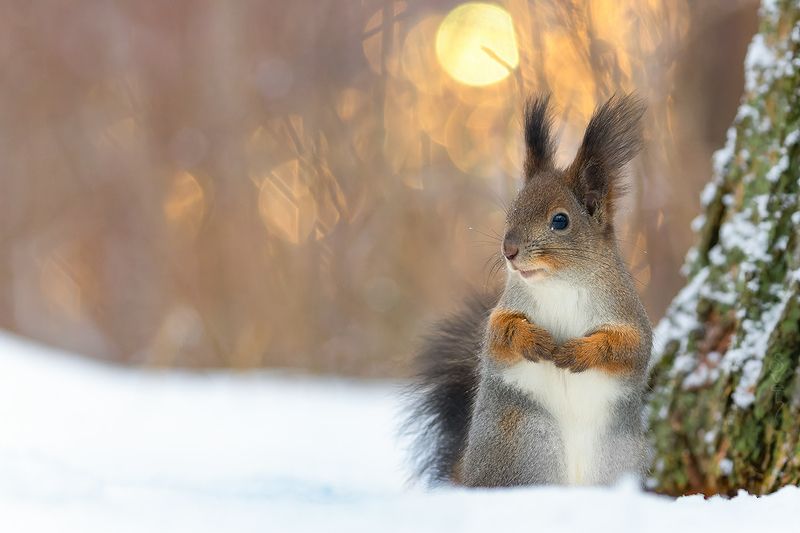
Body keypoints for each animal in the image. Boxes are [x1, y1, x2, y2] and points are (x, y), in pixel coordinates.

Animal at [405, 94, 653, 487]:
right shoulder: (505, 310)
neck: (560, 283)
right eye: (513, 209)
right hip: (525, 440)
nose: (508, 249)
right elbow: (498, 336)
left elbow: (629, 348)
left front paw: (579, 352)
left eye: (560, 220)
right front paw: (533, 339)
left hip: (616, 456)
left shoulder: (628, 313)